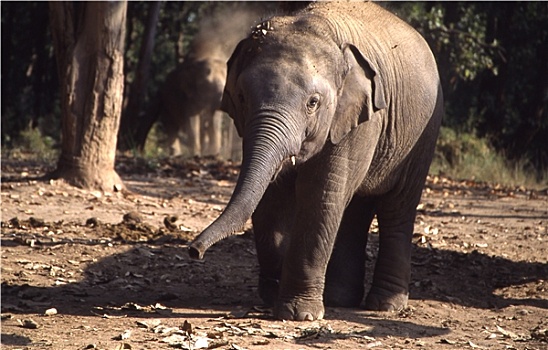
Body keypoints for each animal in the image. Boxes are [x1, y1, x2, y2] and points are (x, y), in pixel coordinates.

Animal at [191, 1, 444, 322]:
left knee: (396, 207)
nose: (194, 251)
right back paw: (340, 298)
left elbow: (319, 195)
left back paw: (385, 306)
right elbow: (271, 198)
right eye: (243, 97)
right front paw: (273, 296)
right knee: (354, 207)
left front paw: (298, 314)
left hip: (422, 136)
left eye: (313, 103)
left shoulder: (358, 119)